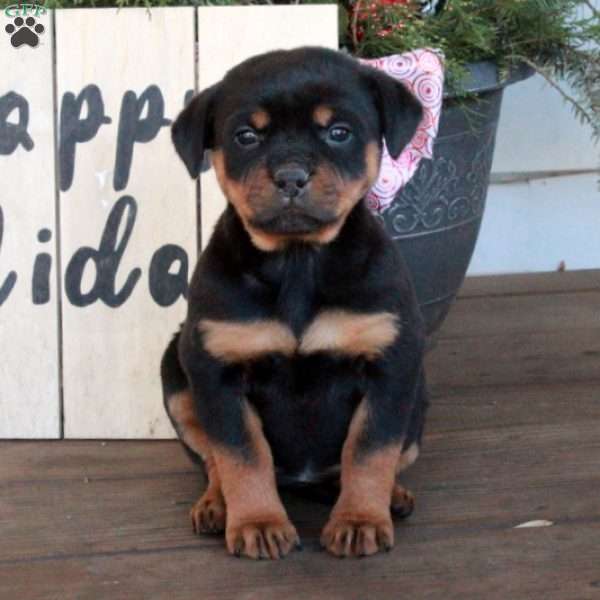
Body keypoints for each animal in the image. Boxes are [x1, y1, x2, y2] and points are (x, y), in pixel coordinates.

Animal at [162, 45, 428, 556]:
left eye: (339, 132)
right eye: (246, 136)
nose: (290, 176)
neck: (298, 261)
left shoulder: (389, 365)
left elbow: (370, 450)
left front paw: (360, 520)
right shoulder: (217, 370)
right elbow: (242, 455)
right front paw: (258, 524)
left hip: (418, 394)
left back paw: (394, 496)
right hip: (177, 376)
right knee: (211, 461)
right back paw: (216, 505)